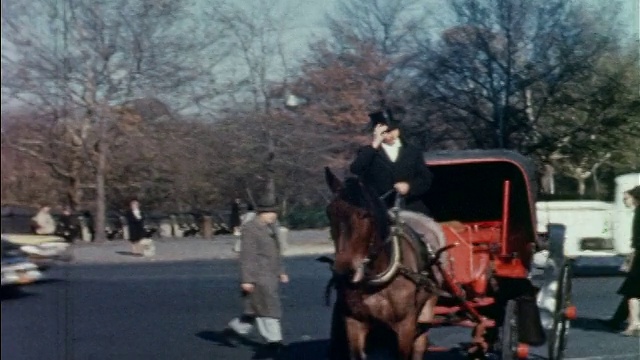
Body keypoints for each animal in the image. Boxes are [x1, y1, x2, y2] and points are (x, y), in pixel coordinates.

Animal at [322, 169, 442, 360]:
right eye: (330, 212)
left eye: (364, 214)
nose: (343, 272)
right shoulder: (354, 321)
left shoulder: (405, 325)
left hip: (427, 307)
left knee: (419, 345)